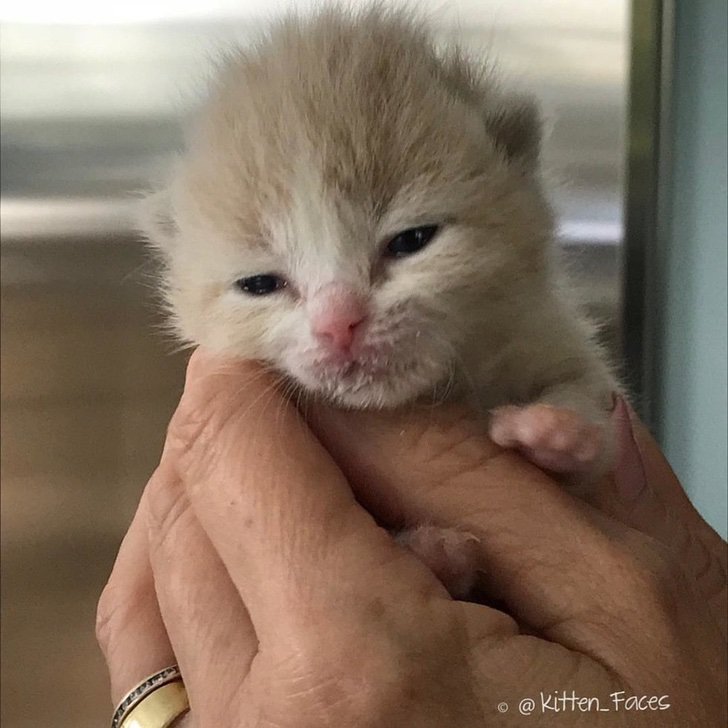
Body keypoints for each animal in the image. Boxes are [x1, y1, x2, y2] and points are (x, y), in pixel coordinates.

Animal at [141, 7, 616, 596]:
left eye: (412, 240)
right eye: (259, 284)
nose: (338, 322)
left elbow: (594, 421)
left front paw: (558, 430)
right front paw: (429, 553)